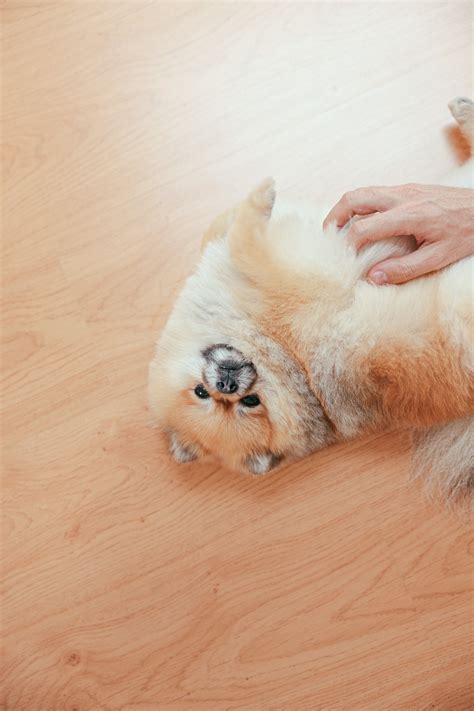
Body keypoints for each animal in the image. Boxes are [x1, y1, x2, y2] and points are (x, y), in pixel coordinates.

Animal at [149, 98, 473, 501]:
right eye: (249, 402)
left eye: (202, 393)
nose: (227, 384)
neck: (280, 349)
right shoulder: (295, 277)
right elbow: (245, 237)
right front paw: (261, 198)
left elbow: (226, 232)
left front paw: (251, 204)